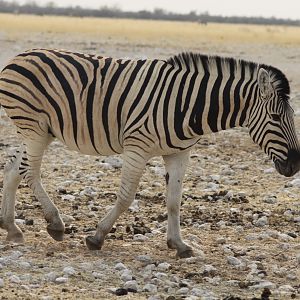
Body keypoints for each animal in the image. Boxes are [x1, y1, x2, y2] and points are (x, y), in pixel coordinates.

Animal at [0, 49, 298, 258]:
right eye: (275, 117)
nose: (294, 165)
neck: (189, 106)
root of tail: (19, 56)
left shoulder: (179, 154)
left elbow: (174, 201)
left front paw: (179, 244)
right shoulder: (137, 147)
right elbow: (125, 197)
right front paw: (97, 237)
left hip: (38, 131)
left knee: (13, 169)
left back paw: (12, 228)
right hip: (35, 128)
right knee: (30, 172)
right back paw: (55, 223)